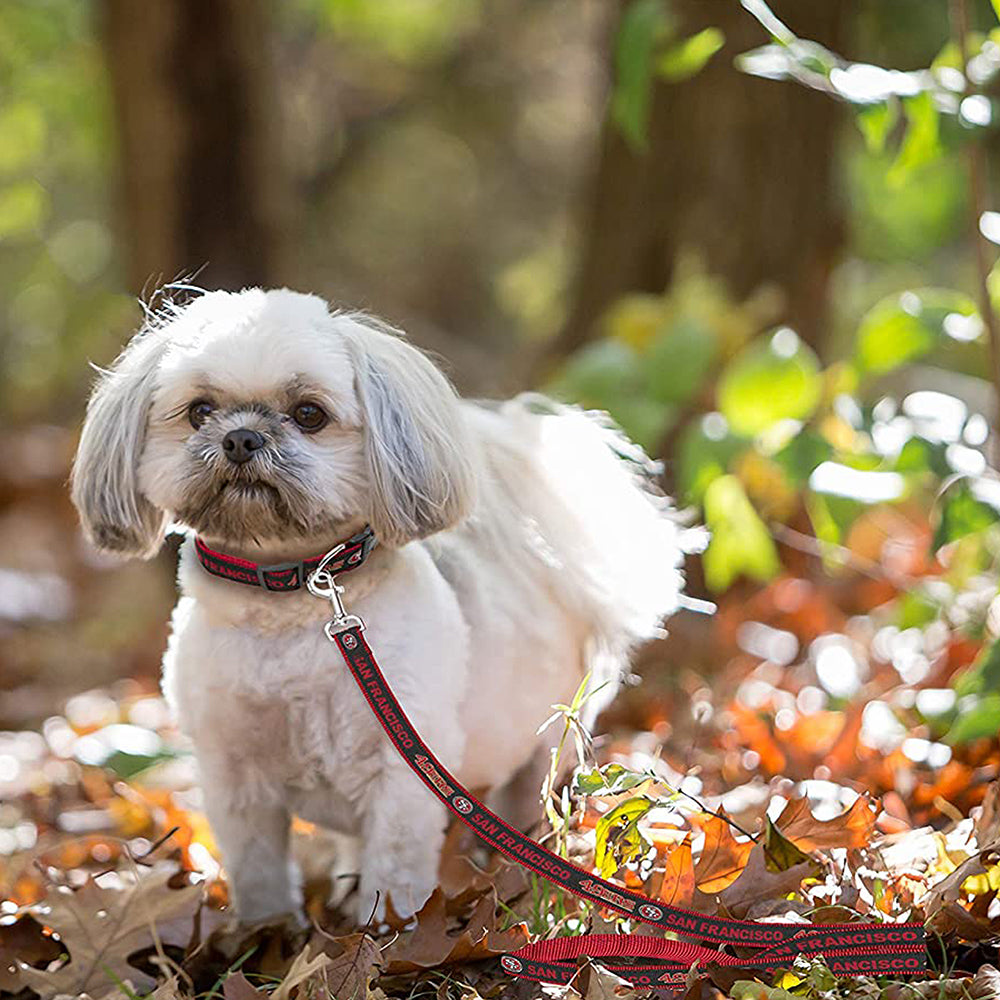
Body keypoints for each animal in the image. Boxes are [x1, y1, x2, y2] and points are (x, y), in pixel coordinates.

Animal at [68, 290, 680, 928]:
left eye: (309, 413)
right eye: (199, 410)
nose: (240, 438)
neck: (290, 600)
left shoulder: (404, 772)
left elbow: (395, 871)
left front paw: (386, 935)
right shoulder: (233, 776)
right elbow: (258, 871)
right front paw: (266, 934)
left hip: (542, 740)